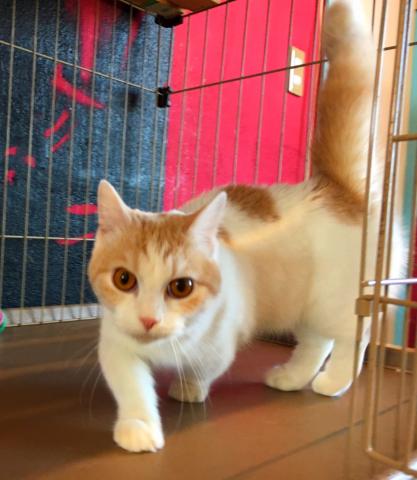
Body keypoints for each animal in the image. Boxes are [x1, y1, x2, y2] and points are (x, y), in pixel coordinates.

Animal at [88, 0, 404, 453]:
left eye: (181, 287)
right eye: (123, 279)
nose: (149, 320)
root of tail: (337, 189)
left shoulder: (219, 343)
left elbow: (202, 369)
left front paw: (189, 389)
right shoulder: (116, 337)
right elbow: (130, 381)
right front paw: (138, 425)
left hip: (335, 300)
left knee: (350, 337)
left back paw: (333, 381)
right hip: (300, 302)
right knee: (315, 341)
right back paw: (291, 377)